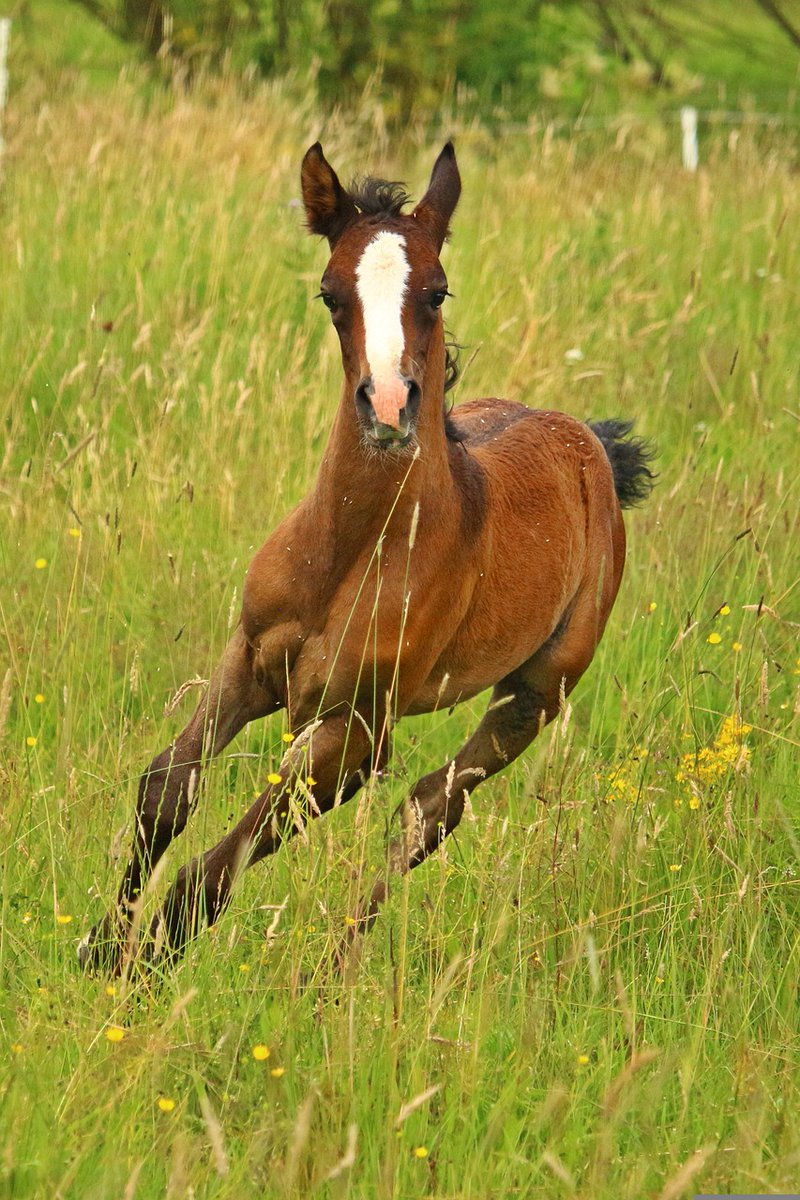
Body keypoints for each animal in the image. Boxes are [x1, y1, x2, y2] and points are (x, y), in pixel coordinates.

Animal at [79, 142, 653, 975]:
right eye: (330, 295)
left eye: (438, 291)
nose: (386, 406)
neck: (349, 551)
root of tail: (590, 444)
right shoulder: (248, 656)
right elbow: (167, 789)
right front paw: (101, 949)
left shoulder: (357, 733)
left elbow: (216, 866)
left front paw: (147, 963)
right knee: (420, 810)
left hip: (536, 694)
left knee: (429, 811)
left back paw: (332, 972)